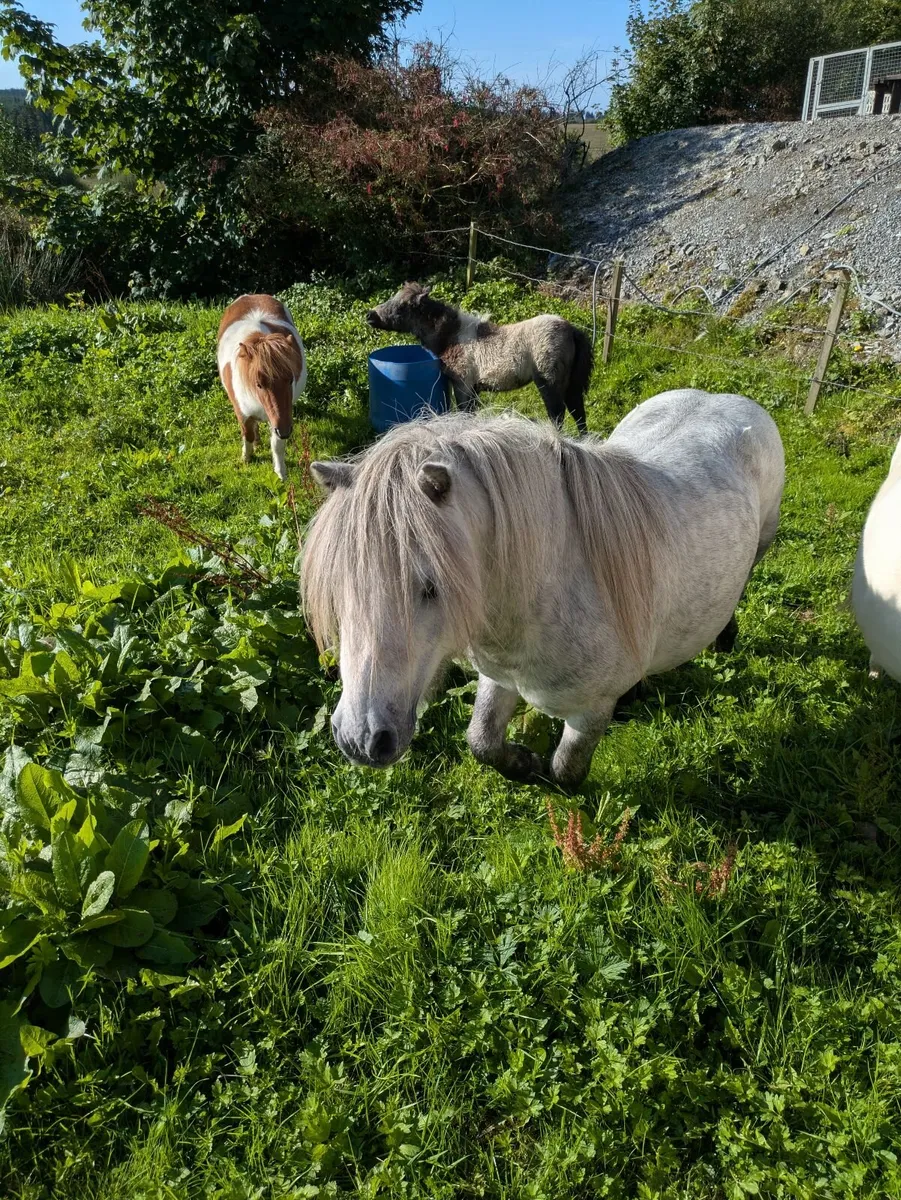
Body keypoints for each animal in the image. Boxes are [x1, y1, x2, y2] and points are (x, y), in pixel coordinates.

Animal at [217, 294, 307, 481]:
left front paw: (281, 474)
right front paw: (247, 458)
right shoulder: (242, 413)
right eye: (258, 384)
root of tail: (252, 295)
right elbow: (247, 434)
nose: (285, 431)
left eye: (290, 380)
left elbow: (277, 445)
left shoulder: (281, 419)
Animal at [301, 389, 784, 789]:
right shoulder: (499, 678)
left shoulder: (590, 713)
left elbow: (565, 772)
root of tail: (725, 397)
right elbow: (481, 742)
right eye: (339, 584)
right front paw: (520, 763)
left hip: (761, 543)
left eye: (431, 587)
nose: (361, 739)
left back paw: (725, 638)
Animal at [366, 282, 593, 435]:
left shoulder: (462, 386)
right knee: (577, 411)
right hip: (570, 384)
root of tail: (571, 328)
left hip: (549, 383)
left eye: (402, 307)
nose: (369, 315)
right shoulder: (473, 389)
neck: (452, 336)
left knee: (558, 414)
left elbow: (464, 414)